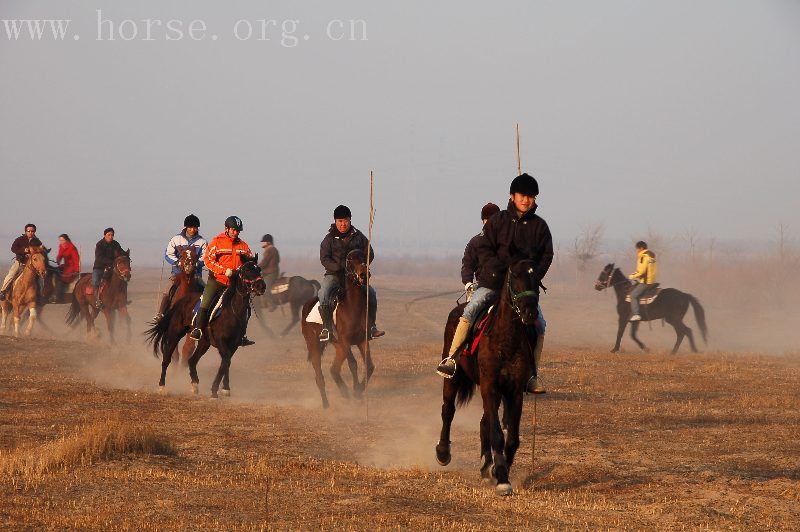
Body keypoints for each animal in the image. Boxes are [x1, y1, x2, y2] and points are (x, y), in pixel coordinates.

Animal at [145, 258, 266, 400]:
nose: (261, 286)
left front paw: (225, 388)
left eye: (259, 269)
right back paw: (162, 387)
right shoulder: (221, 342)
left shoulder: (234, 344)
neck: (232, 311)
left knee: (192, 360)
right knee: (167, 359)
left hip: (204, 343)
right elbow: (225, 361)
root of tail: (180, 301)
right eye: (247, 270)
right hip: (174, 334)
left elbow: (226, 363)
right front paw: (214, 391)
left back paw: (194, 385)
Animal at [300, 248, 376, 408]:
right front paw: (356, 390)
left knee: (334, 369)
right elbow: (353, 364)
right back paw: (326, 404)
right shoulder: (346, 341)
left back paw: (345, 393)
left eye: (364, 257)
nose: (363, 274)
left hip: (338, 346)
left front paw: (358, 391)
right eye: (349, 260)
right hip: (314, 344)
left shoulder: (362, 340)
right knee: (319, 374)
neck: (352, 306)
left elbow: (370, 366)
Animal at [434, 260, 540, 496]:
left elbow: (511, 437)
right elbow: (497, 434)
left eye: (537, 278)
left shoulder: (513, 392)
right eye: (514, 276)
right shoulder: (490, 387)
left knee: (484, 422)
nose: (529, 312)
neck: (505, 339)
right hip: (453, 379)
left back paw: (485, 467)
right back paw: (443, 452)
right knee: (448, 410)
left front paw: (499, 470)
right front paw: (501, 477)